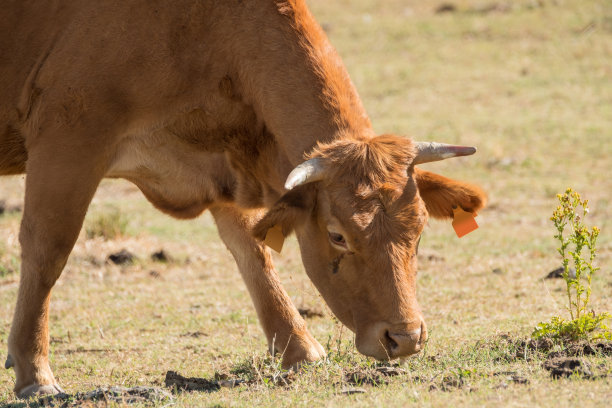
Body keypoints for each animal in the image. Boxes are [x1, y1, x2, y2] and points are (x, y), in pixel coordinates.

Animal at [0, 0, 488, 396]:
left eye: (419, 231)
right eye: (337, 235)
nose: (405, 337)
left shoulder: (221, 165)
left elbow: (253, 251)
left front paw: (297, 348)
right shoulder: (69, 138)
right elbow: (48, 250)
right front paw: (34, 373)